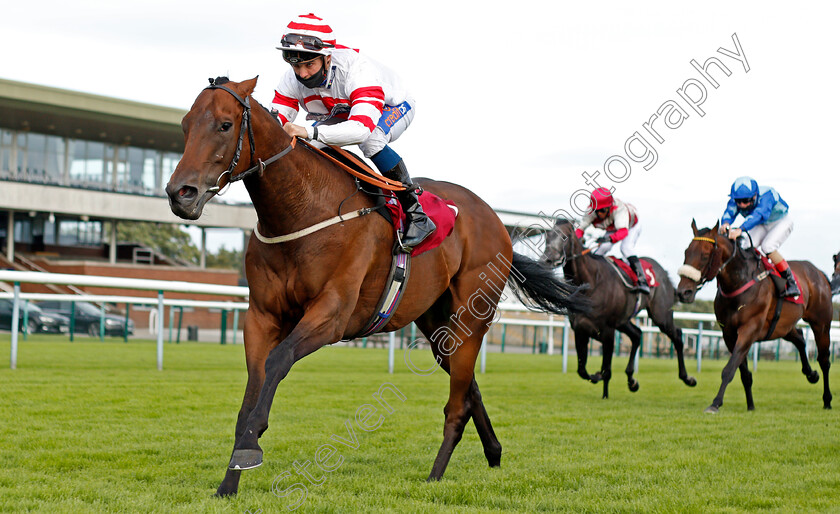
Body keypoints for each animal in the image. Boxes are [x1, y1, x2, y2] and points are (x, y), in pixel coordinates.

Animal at [161, 77, 588, 496]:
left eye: (224, 125)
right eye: (185, 125)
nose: (180, 193)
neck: (301, 210)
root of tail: (496, 221)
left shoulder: (331, 315)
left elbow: (278, 361)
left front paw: (249, 448)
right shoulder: (261, 317)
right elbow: (252, 391)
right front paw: (229, 481)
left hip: (470, 319)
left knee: (457, 404)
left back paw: (435, 476)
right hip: (436, 323)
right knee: (470, 389)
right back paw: (494, 454)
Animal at [540, 218, 696, 398]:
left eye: (564, 237)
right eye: (547, 236)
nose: (547, 260)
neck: (591, 282)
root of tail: (664, 273)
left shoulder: (607, 330)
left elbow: (606, 368)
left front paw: (604, 390)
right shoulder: (580, 329)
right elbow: (582, 370)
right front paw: (599, 379)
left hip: (661, 315)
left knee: (677, 335)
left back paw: (687, 378)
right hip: (624, 321)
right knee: (637, 334)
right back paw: (631, 380)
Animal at [672, 218, 832, 410]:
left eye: (704, 255)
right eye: (686, 252)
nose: (683, 292)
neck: (739, 282)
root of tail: (818, 272)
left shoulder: (749, 330)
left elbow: (729, 369)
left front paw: (715, 403)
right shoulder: (729, 333)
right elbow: (744, 373)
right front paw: (750, 406)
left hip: (821, 323)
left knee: (824, 360)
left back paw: (827, 400)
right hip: (782, 326)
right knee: (800, 337)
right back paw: (811, 374)